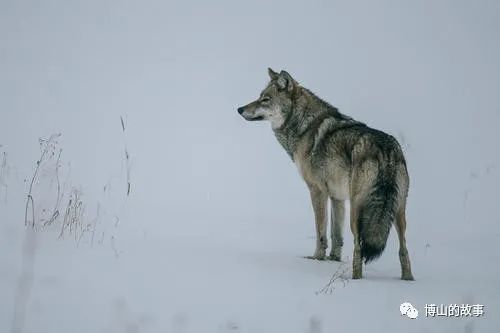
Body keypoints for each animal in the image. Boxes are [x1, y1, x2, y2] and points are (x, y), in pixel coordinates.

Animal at [238, 68, 414, 278]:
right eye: (259, 97)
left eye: (265, 99)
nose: (239, 109)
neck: (303, 126)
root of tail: (386, 150)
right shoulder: (337, 198)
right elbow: (336, 235)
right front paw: (333, 259)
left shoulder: (317, 191)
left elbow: (321, 232)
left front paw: (316, 259)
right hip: (397, 211)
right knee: (404, 249)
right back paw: (407, 279)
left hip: (358, 211)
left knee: (359, 248)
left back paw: (356, 278)